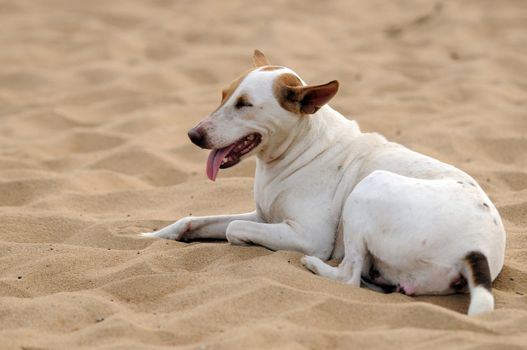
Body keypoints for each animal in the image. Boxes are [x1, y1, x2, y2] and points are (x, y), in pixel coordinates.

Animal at [142, 50, 506, 316]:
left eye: (245, 105)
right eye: (222, 96)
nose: (192, 135)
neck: (296, 148)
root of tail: (477, 248)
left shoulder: (307, 235)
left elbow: (234, 230)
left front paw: (246, 242)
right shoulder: (262, 215)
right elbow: (193, 220)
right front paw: (152, 236)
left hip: (369, 188)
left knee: (349, 276)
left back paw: (316, 266)